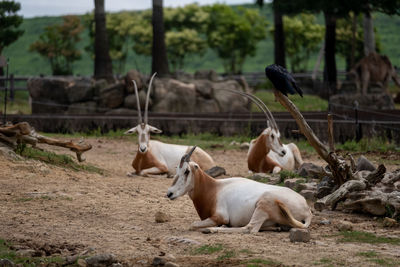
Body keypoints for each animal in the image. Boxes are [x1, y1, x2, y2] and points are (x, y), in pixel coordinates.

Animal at [166, 148, 312, 233]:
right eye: (177, 170)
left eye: (186, 171)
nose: (169, 193)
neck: (214, 188)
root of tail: (307, 210)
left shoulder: (219, 216)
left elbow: (193, 224)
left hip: (263, 204)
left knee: (250, 228)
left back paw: (212, 229)